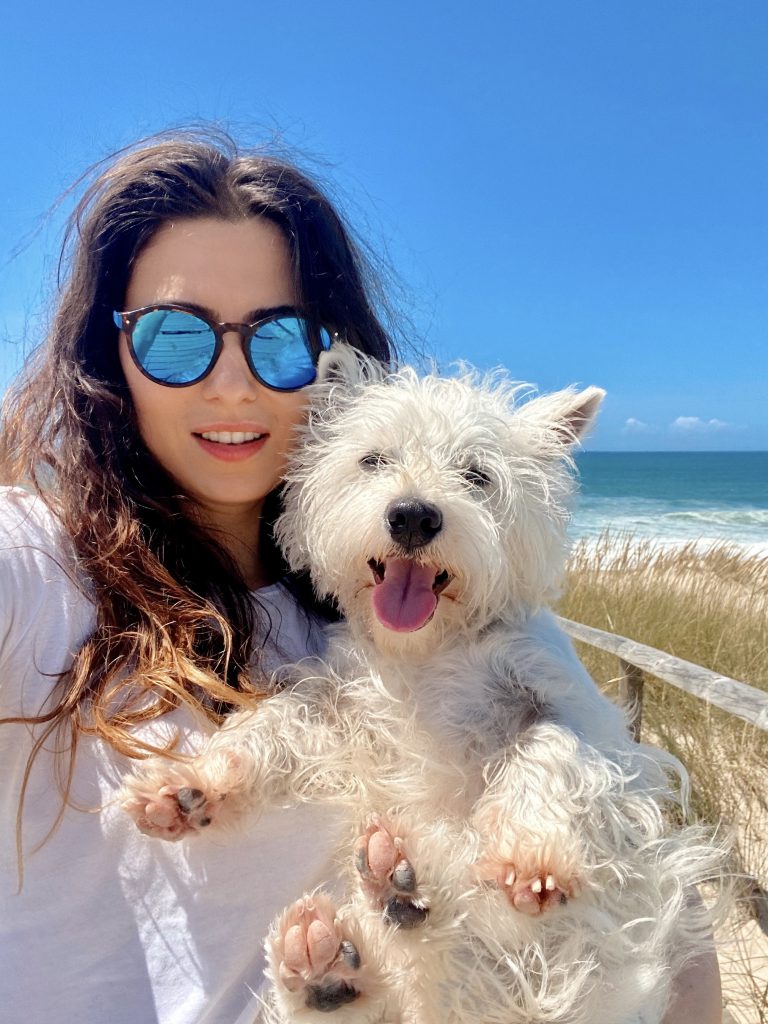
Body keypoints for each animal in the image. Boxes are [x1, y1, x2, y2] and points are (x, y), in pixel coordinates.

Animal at [121, 350, 729, 1024]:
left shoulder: (571, 705)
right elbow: (275, 722)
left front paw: (531, 856)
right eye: (373, 460)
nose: (413, 515)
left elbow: (548, 746)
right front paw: (187, 785)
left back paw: (396, 897)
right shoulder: (339, 702)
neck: (425, 653)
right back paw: (334, 960)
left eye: (477, 475)